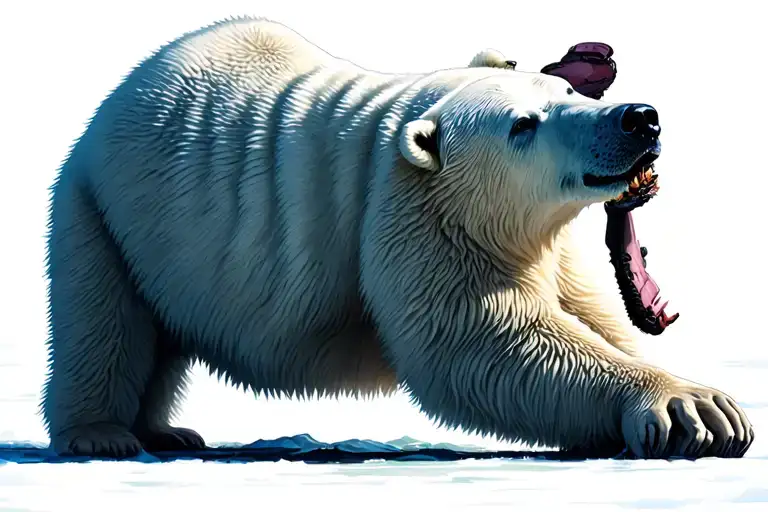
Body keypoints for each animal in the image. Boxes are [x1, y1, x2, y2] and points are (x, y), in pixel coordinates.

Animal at [41, 16, 753, 459]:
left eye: (570, 91)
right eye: (523, 124)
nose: (638, 118)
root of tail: (129, 87)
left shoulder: (542, 238)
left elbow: (584, 313)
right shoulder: (414, 210)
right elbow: (482, 339)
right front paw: (695, 409)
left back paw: (167, 432)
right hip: (99, 209)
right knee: (102, 320)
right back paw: (102, 434)